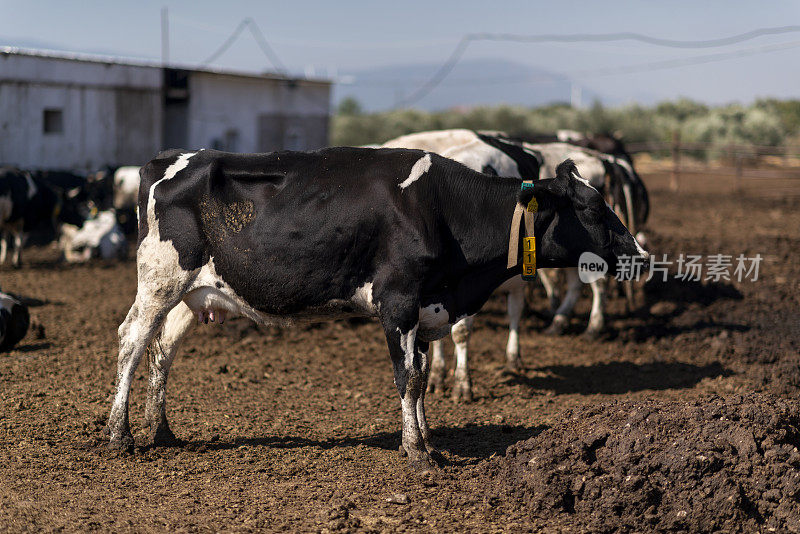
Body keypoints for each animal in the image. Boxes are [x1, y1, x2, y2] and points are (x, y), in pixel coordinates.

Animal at [106, 147, 648, 468]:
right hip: (159, 277)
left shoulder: (428, 309)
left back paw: (161, 430)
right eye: (592, 209)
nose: (640, 254)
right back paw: (120, 435)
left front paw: (426, 440)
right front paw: (416, 453)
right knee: (132, 340)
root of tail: (167, 160)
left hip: (192, 291)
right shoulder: (399, 302)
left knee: (163, 347)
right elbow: (406, 378)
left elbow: (423, 378)